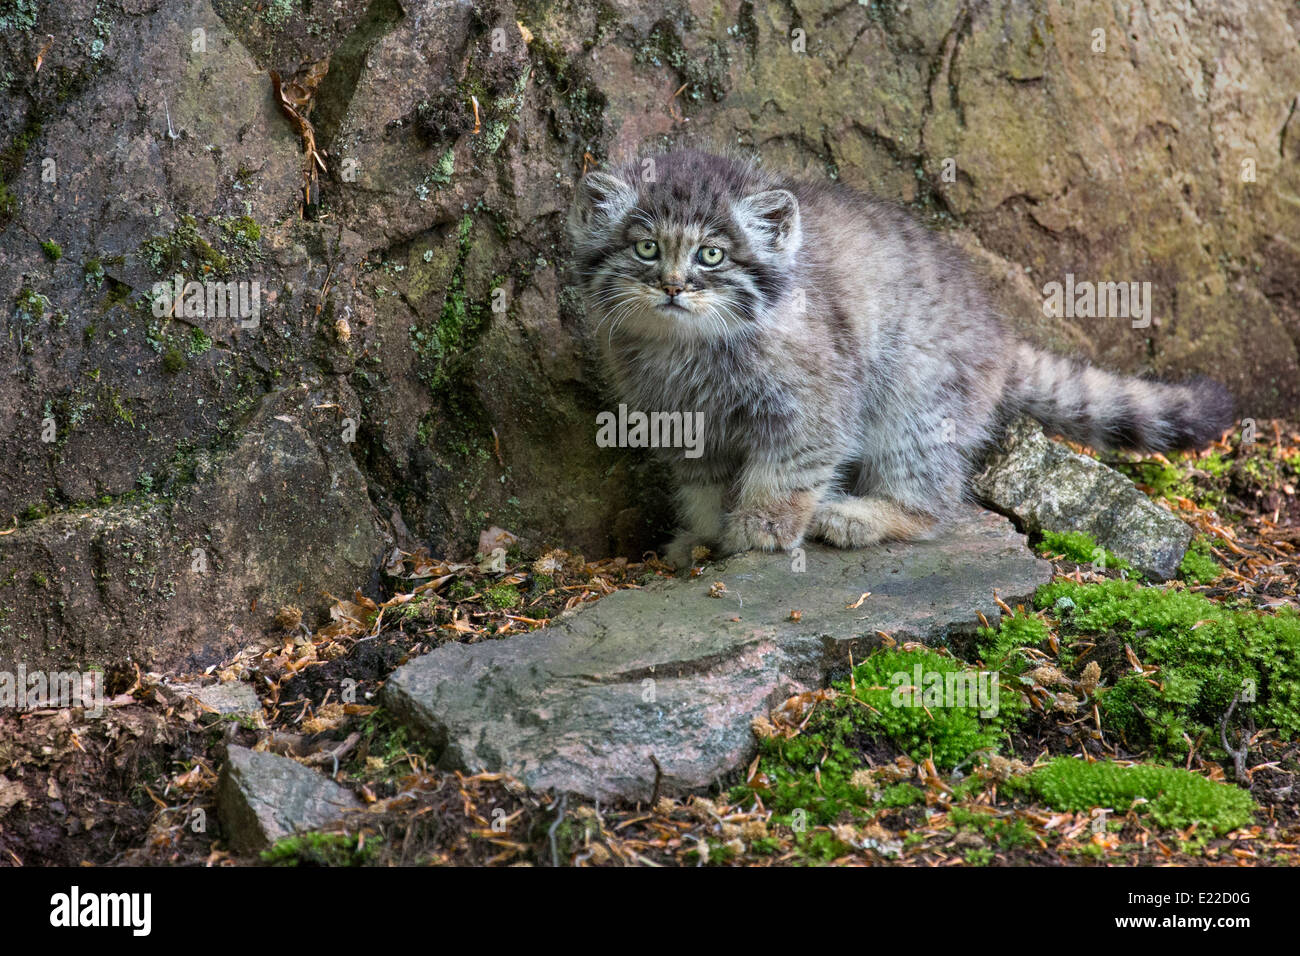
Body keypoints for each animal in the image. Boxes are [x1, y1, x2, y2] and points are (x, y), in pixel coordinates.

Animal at [569, 150, 1227, 567]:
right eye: (646, 248)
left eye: (712, 255)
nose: (673, 286)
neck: (690, 347)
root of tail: (999, 333)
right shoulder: (683, 422)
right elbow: (702, 485)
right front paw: (702, 538)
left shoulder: (815, 407)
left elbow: (786, 472)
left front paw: (760, 531)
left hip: (915, 398)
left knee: (933, 500)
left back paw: (865, 517)